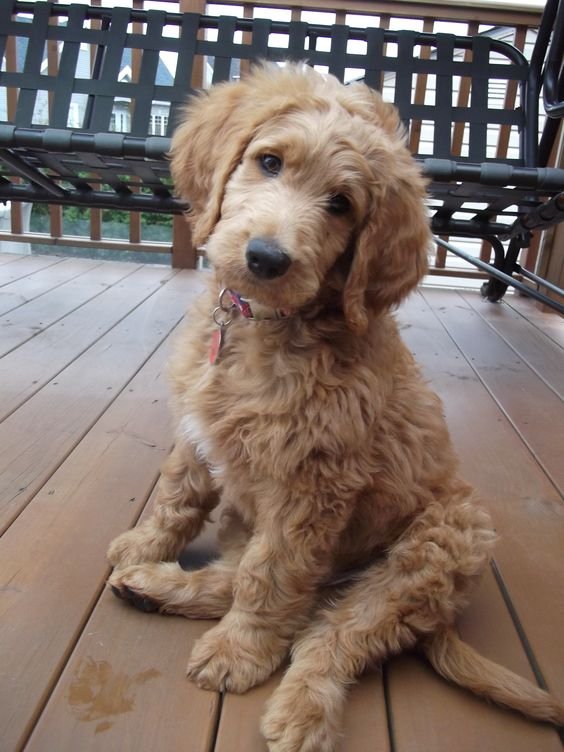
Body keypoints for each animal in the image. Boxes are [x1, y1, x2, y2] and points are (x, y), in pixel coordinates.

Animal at [109, 61, 564, 748]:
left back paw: (300, 708)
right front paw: (141, 547)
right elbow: (177, 493)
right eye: (269, 162)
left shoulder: (312, 483)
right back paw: (152, 583)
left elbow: (271, 576)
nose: (265, 258)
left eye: (342, 205)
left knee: (328, 629)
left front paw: (240, 650)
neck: (267, 327)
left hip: (435, 551)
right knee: (281, 591)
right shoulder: (198, 429)